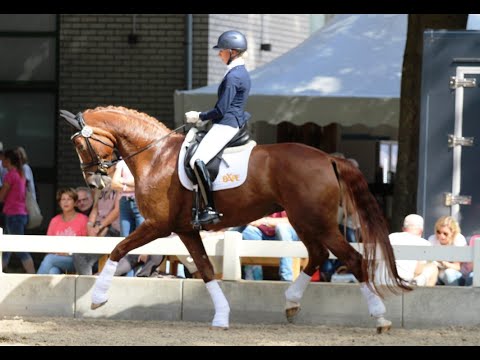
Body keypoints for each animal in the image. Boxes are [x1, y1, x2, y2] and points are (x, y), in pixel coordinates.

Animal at [62, 106, 410, 332]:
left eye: (79, 143)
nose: (94, 182)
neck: (155, 155)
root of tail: (327, 157)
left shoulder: (158, 225)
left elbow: (118, 249)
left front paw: (98, 299)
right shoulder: (185, 229)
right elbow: (205, 269)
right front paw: (222, 316)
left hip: (317, 222)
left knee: (352, 259)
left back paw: (380, 318)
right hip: (305, 220)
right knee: (318, 255)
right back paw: (291, 303)